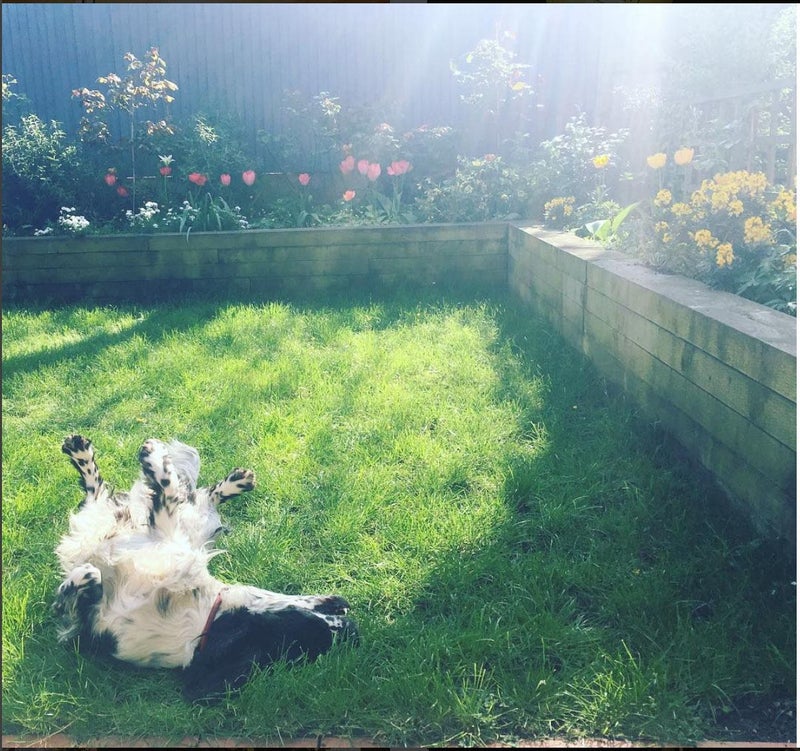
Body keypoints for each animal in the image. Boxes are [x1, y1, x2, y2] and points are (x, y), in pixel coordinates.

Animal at [53, 434, 358, 701]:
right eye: (315, 617)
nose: (351, 627)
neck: (203, 618)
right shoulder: (167, 543)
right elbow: (170, 490)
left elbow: (82, 581)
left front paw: (152, 454)